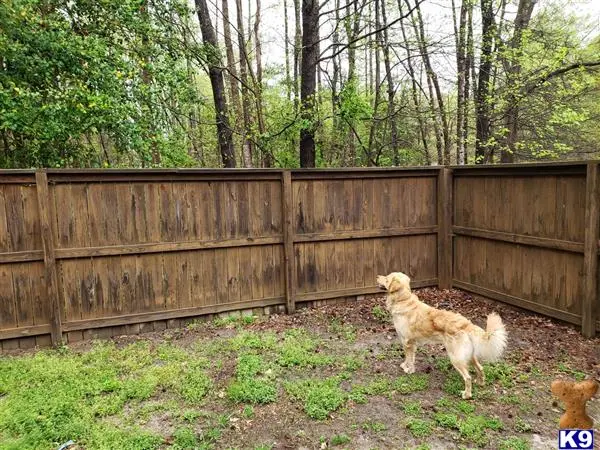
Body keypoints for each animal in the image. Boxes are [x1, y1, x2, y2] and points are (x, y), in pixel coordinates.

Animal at [376, 272, 506, 400]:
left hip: (455, 357)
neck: (403, 300)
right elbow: (411, 358)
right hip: (468, 355)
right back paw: (480, 383)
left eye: (386, 279)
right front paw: (407, 367)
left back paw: (466, 395)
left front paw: (408, 369)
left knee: (467, 377)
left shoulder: (407, 342)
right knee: (480, 368)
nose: (377, 277)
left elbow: (409, 358)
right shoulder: (412, 343)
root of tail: (466, 324)